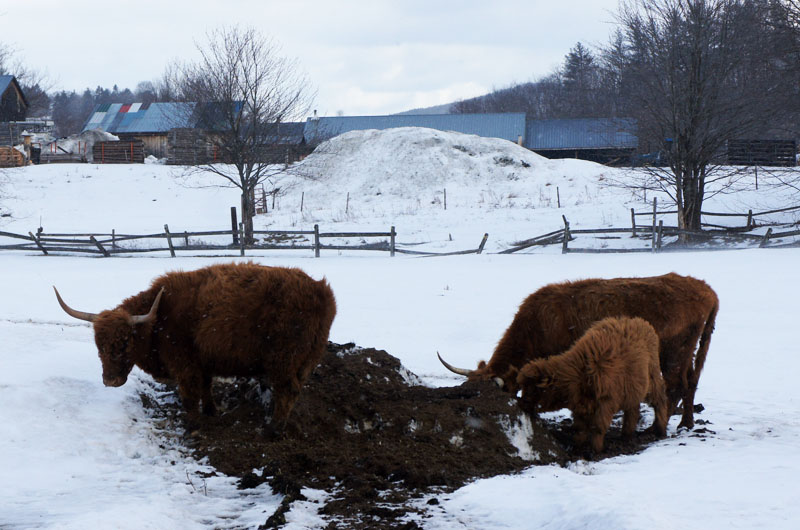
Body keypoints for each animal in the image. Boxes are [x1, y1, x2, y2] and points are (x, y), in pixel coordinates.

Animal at [52, 260, 334, 428]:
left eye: (124, 343)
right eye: (98, 344)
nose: (110, 381)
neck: (160, 318)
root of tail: (321, 291)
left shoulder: (185, 365)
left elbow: (189, 397)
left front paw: (194, 426)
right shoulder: (203, 361)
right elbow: (206, 388)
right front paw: (211, 412)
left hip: (282, 360)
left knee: (287, 390)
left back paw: (273, 430)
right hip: (306, 359)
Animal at [438, 272, 720, 428]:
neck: (536, 327)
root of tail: (705, 289)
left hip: (675, 351)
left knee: (678, 384)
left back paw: (663, 424)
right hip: (692, 347)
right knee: (691, 380)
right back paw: (685, 422)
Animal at [512, 316, 668, 452]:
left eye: (533, 389)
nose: (521, 402)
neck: (580, 374)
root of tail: (643, 323)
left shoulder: (606, 402)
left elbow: (597, 427)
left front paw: (595, 449)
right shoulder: (581, 405)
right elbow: (580, 428)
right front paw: (577, 447)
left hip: (652, 378)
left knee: (659, 400)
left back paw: (661, 430)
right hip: (633, 388)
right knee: (633, 410)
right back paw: (626, 435)